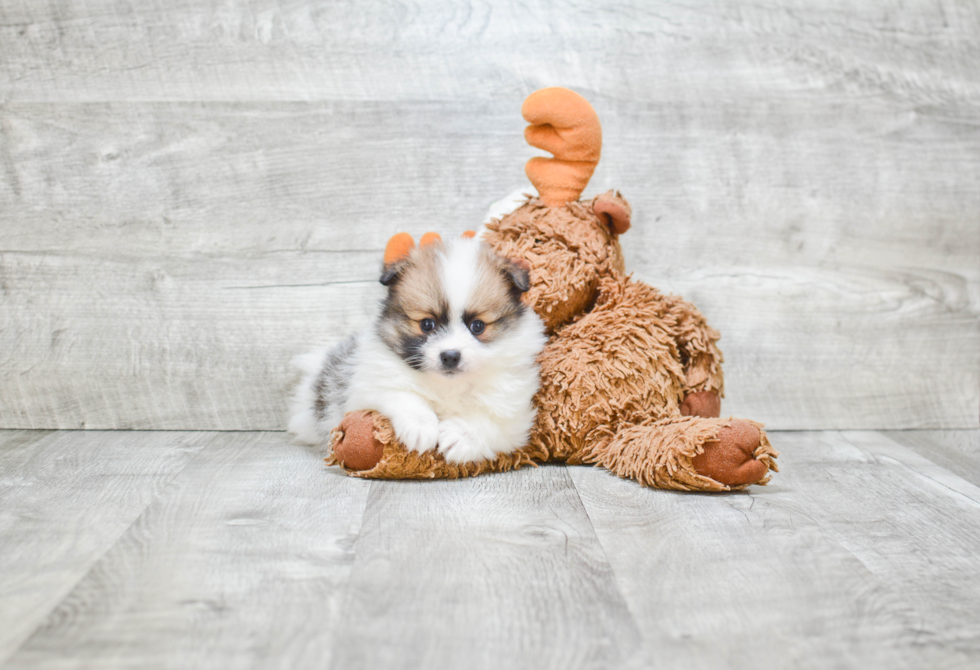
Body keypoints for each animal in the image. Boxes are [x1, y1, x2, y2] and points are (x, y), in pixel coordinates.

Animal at [288, 238, 548, 468]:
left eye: (477, 326)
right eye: (427, 324)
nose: (450, 355)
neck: (448, 385)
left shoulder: (515, 416)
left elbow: (490, 420)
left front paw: (461, 436)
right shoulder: (371, 385)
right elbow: (404, 396)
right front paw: (421, 427)